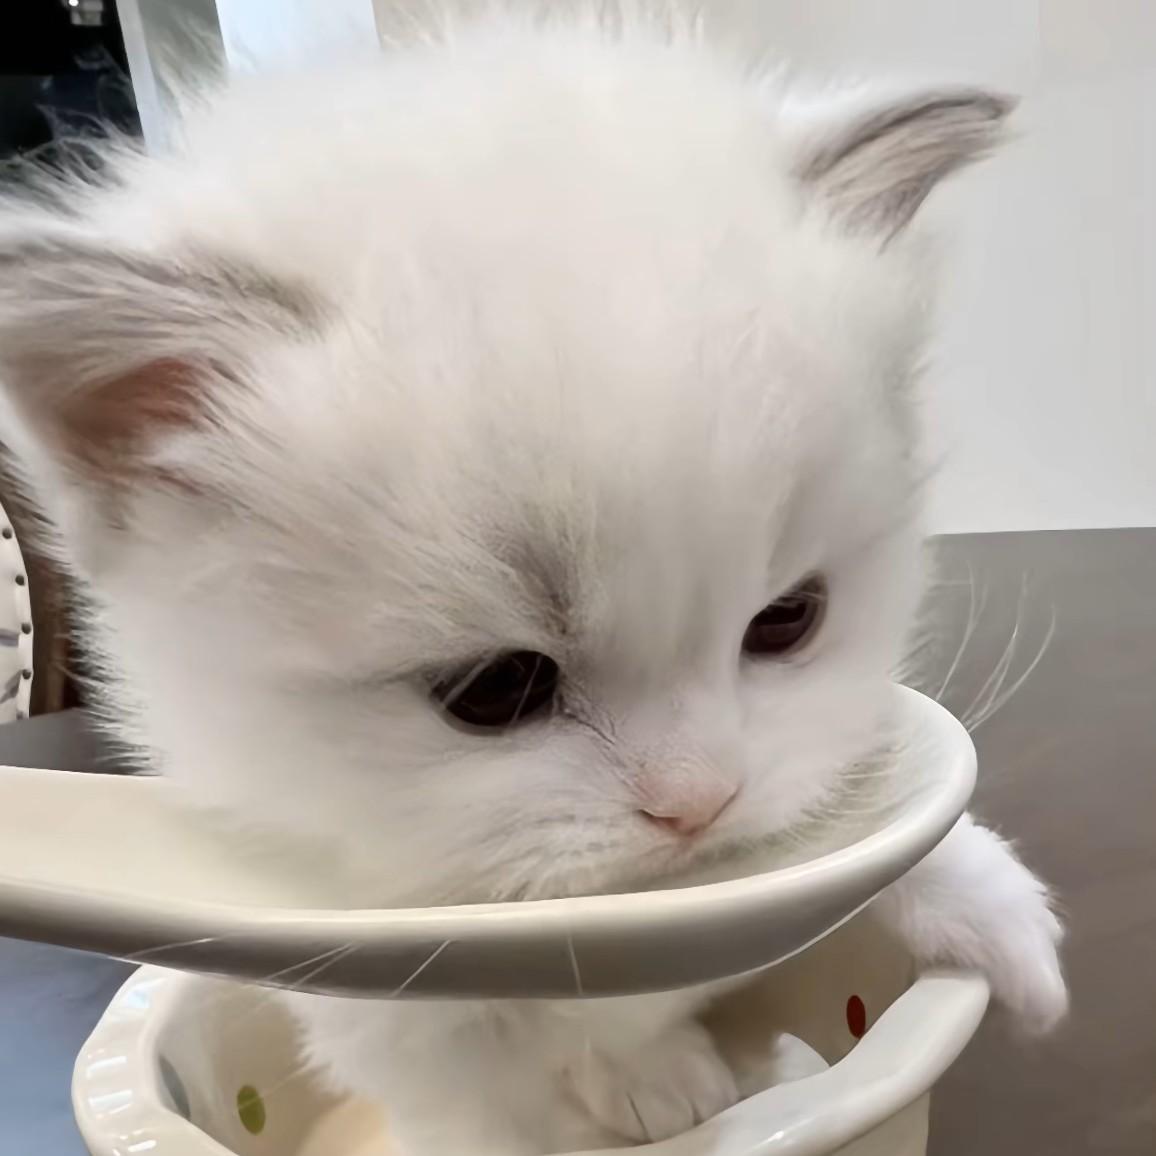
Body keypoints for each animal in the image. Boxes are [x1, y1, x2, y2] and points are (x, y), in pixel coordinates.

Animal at [0, 9, 1065, 1155]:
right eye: (495, 690)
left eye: (788, 619)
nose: (698, 805)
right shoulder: (392, 1013)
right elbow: (534, 1062)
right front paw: (659, 1081)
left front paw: (988, 905)